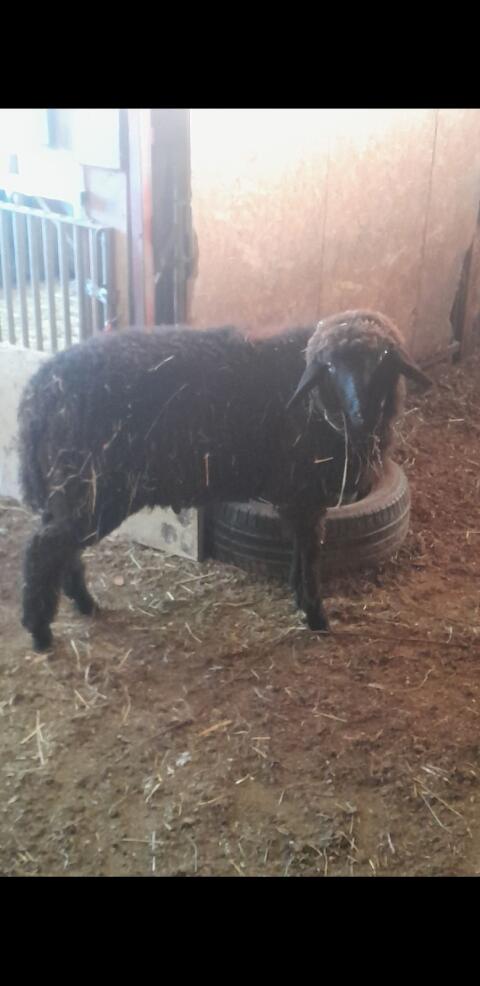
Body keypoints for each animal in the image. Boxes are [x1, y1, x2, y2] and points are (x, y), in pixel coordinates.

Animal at [17, 312, 430, 652]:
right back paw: (40, 631)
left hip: (71, 491)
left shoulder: (297, 499)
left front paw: (301, 601)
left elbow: (300, 552)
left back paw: (84, 603)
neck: (317, 403)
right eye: (329, 367)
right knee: (44, 548)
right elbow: (311, 556)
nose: (362, 415)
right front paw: (316, 617)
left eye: (383, 360)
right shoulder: (304, 494)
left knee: (62, 548)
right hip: (93, 489)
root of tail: (38, 390)